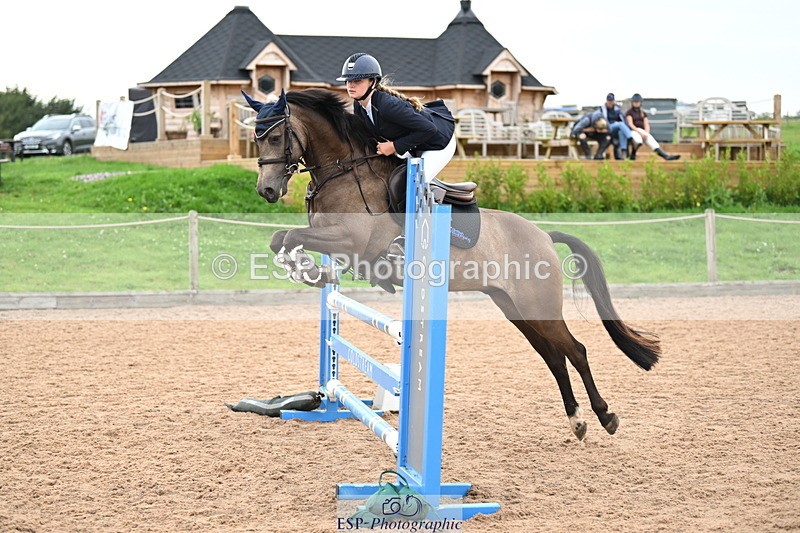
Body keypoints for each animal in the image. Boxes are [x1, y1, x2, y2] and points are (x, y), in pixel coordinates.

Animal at [244, 88, 660, 441]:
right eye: (257, 138)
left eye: (277, 138)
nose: (267, 190)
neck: (344, 170)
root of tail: (544, 235)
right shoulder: (333, 240)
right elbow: (281, 238)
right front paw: (310, 271)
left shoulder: (352, 241)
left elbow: (289, 237)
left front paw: (305, 268)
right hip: (515, 309)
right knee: (554, 357)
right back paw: (577, 420)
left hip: (538, 307)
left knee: (576, 351)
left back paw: (605, 416)